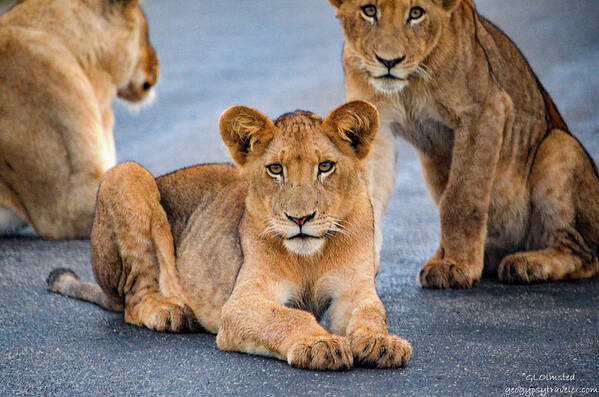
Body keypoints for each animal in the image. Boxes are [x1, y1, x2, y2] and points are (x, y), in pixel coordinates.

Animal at [47, 100, 414, 370]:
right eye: (275, 169)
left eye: (325, 166)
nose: (300, 218)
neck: (310, 257)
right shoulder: (240, 304)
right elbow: (289, 316)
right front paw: (319, 343)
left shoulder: (353, 292)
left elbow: (371, 314)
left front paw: (382, 343)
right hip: (126, 174)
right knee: (134, 300)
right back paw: (172, 312)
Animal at [330, 0, 599, 286]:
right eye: (369, 10)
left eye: (416, 13)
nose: (389, 61)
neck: (410, 84)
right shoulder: (374, 123)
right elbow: (369, 195)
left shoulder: (484, 109)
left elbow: (462, 196)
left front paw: (455, 265)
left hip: (559, 145)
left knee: (583, 254)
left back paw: (527, 264)